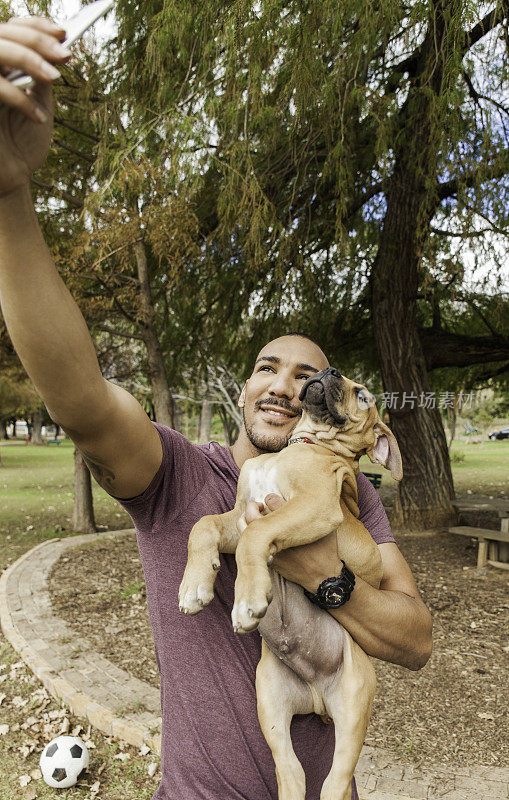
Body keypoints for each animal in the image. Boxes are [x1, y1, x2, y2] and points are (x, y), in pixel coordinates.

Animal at [179, 368, 400, 800]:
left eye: (363, 396)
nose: (329, 371)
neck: (298, 444)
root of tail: (316, 699)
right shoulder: (239, 514)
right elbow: (204, 524)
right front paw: (194, 585)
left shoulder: (313, 504)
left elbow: (256, 535)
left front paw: (248, 599)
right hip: (270, 704)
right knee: (292, 772)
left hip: (354, 708)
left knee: (334, 782)